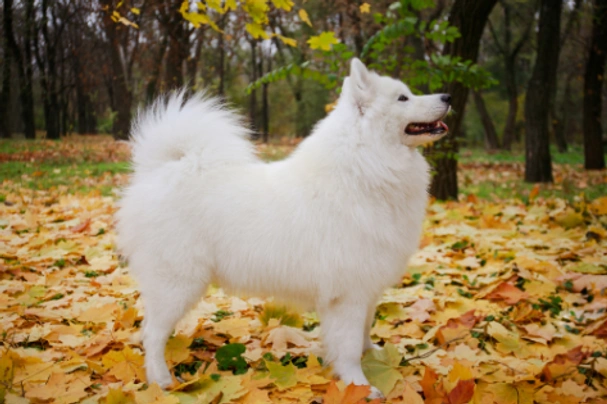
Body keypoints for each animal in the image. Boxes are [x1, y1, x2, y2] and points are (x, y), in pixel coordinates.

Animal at [117, 58, 452, 396]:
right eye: (403, 98)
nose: (448, 97)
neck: (363, 168)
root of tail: (164, 170)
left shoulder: (368, 286)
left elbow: (364, 331)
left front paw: (375, 355)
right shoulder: (347, 295)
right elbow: (347, 347)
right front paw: (359, 385)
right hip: (178, 283)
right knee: (152, 333)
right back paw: (160, 380)